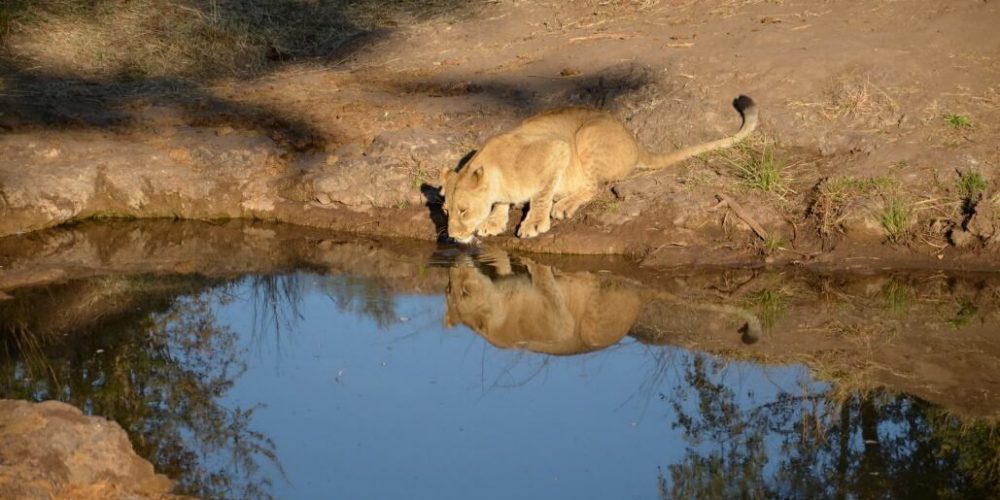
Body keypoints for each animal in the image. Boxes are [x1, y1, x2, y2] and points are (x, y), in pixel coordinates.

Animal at [440, 94, 756, 243]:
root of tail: (635, 142)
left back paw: (564, 204)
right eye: (445, 210)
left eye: (463, 210)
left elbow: (541, 193)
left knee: (596, 186)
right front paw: (495, 221)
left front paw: (534, 223)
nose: (453, 236)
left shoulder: (557, 149)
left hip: (587, 136)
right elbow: (501, 203)